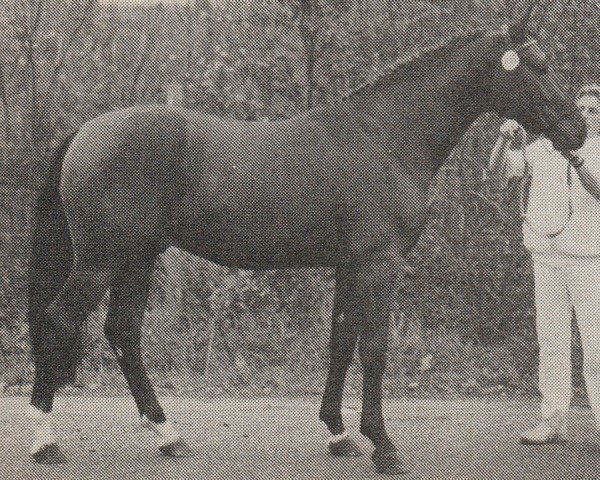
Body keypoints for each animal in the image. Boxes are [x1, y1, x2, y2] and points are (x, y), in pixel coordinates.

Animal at [27, 17, 584, 472]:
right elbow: (374, 347)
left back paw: (167, 435)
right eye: (537, 66)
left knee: (123, 331)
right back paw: (45, 438)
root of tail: (86, 131)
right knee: (60, 320)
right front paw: (384, 447)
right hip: (102, 261)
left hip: (138, 258)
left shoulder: (350, 265)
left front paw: (339, 434)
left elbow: (341, 340)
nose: (577, 130)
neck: (384, 136)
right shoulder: (379, 264)